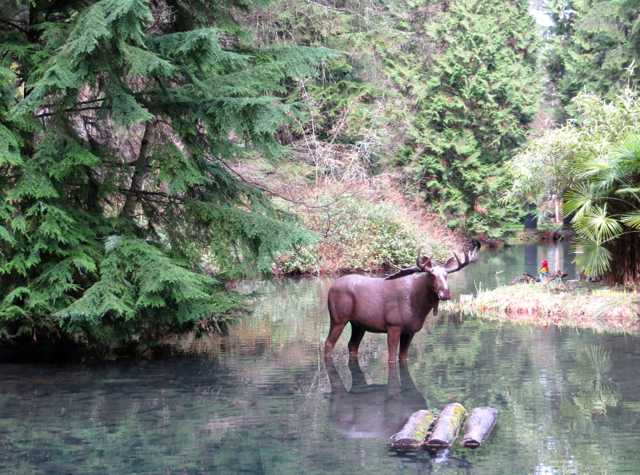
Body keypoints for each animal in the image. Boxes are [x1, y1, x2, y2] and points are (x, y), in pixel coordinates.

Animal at [324, 247, 476, 362]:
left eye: (446, 276)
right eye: (432, 275)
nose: (445, 294)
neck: (418, 307)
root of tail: (331, 287)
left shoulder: (410, 330)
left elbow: (403, 357)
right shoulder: (393, 325)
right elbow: (392, 357)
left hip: (358, 324)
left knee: (352, 345)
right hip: (337, 319)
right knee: (329, 343)